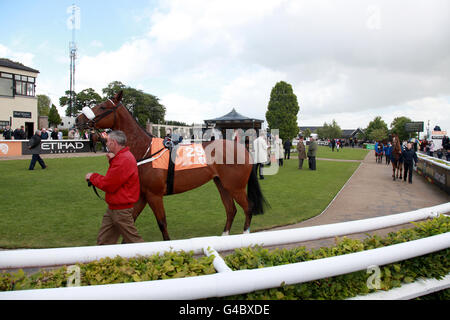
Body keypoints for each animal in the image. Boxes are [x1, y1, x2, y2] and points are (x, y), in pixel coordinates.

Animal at [75, 91, 268, 239]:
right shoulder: (143, 195)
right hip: (222, 184)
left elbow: (162, 223)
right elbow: (131, 219)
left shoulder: (154, 195)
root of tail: (243, 149)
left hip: (235, 186)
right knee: (231, 210)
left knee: (248, 208)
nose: (77, 119)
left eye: (102, 107)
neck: (145, 150)